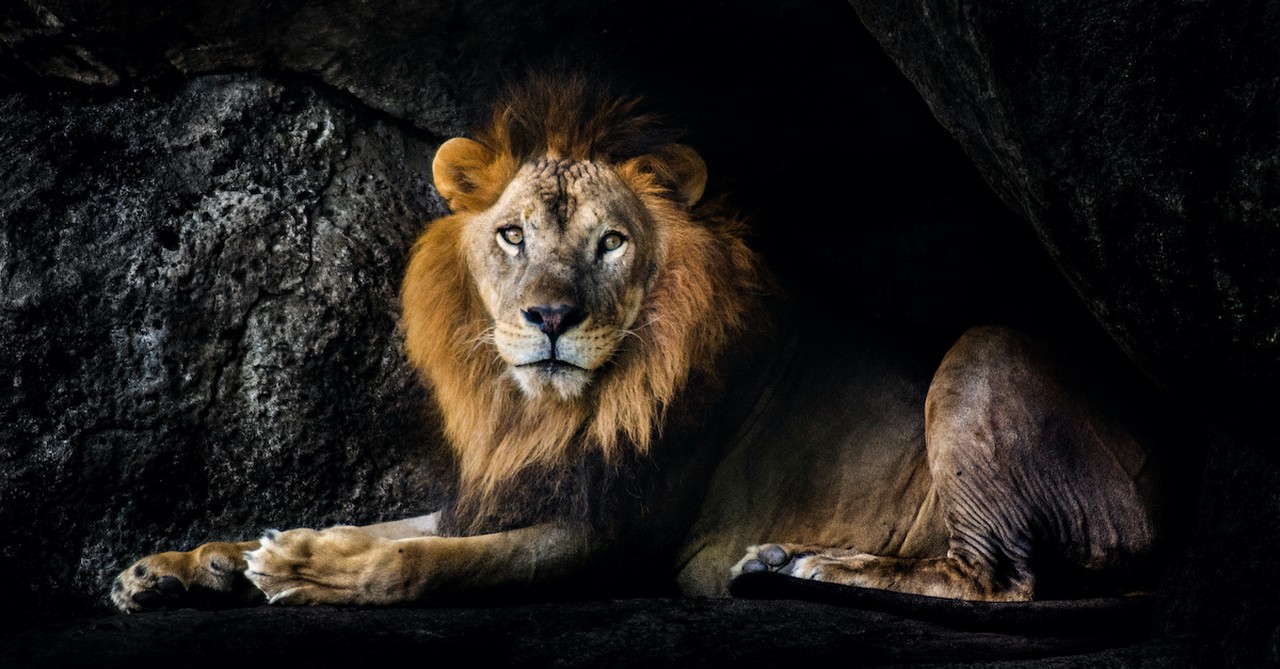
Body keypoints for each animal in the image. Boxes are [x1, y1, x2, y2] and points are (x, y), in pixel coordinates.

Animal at [110, 74, 1172, 619]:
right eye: (512, 235)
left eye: (611, 242)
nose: (549, 317)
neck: (540, 414)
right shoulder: (496, 490)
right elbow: (386, 528)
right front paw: (184, 563)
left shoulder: (611, 538)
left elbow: (422, 565)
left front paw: (307, 571)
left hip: (984, 351)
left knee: (999, 584)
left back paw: (801, 566)